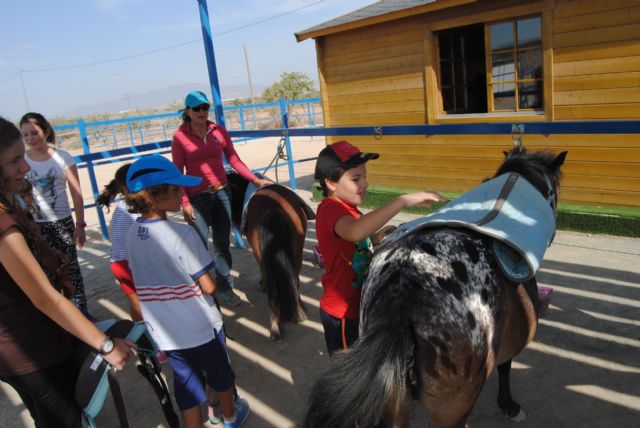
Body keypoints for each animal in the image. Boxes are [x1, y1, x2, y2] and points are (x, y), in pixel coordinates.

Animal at [302, 148, 568, 428]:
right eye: (554, 191)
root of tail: (402, 292)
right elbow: (506, 366)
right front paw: (509, 405)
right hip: (452, 407)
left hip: (393, 403)